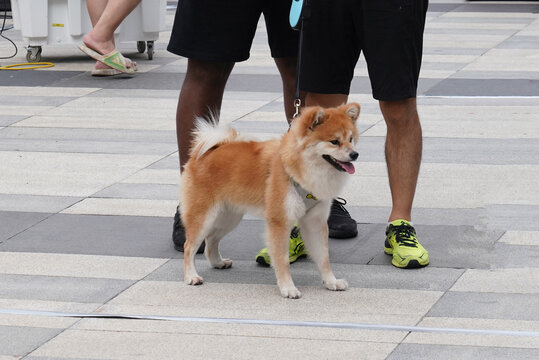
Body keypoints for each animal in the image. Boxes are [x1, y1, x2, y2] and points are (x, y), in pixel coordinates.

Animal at [179, 102, 360, 298]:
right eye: (334, 141)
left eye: (351, 139)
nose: (355, 154)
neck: (298, 169)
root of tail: (205, 151)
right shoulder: (280, 222)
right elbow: (282, 259)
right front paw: (288, 288)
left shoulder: (315, 222)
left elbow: (323, 257)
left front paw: (331, 282)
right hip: (204, 216)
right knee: (189, 246)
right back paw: (191, 276)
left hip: (229, 218)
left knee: (211, 239)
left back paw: (217, 262)